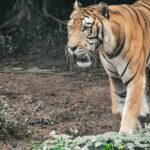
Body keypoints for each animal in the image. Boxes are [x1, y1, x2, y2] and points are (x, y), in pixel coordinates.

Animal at [66, 0, 150, 134]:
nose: (71, 47)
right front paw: (136, 125)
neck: (109, 50)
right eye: (70, 27)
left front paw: (125, 133)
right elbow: (117, 108)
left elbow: (130, 107)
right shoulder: (115, 77)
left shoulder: (135, 77)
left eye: (85, 28)